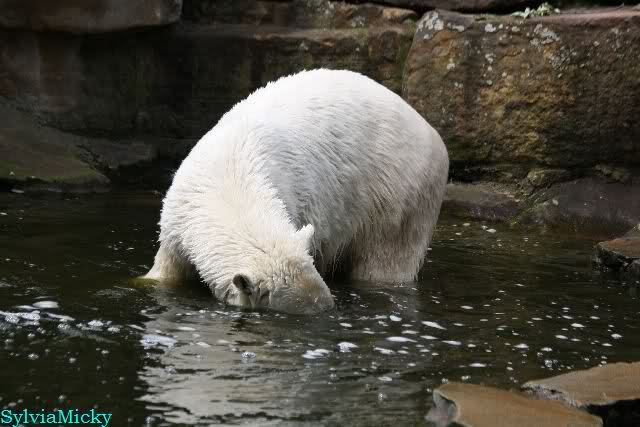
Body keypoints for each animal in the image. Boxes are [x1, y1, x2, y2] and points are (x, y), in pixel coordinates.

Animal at [145, 69, 449, 314]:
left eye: (326, 304)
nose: (327, 310)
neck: (229, 182)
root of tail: (434, 136)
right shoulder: (177, 217)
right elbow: (165, 271)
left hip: (400, 194)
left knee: (386, 262)